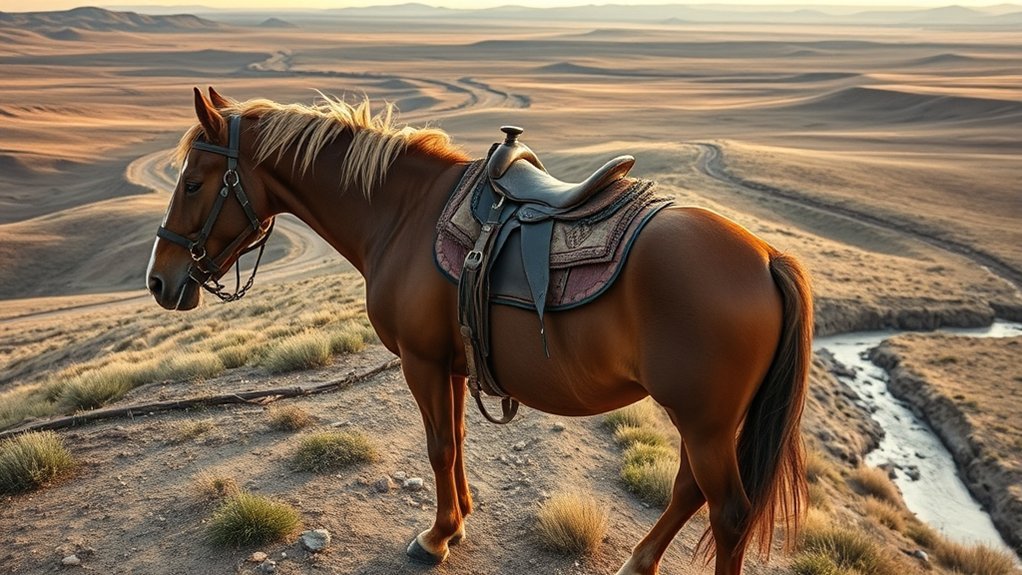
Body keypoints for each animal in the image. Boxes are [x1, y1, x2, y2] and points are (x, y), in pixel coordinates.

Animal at [146, 87, 812, 575]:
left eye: (194, 183)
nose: (159, 280)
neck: (401, 213)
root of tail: (766, 258)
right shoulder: (452, 363)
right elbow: (458, 440)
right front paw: (459, 519)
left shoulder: (420, 360)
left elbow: (439, 445)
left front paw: (435, 537)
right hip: (704, 422)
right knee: (688, 490)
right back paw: (637, 562)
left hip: (704, 422)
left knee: (727, 512)